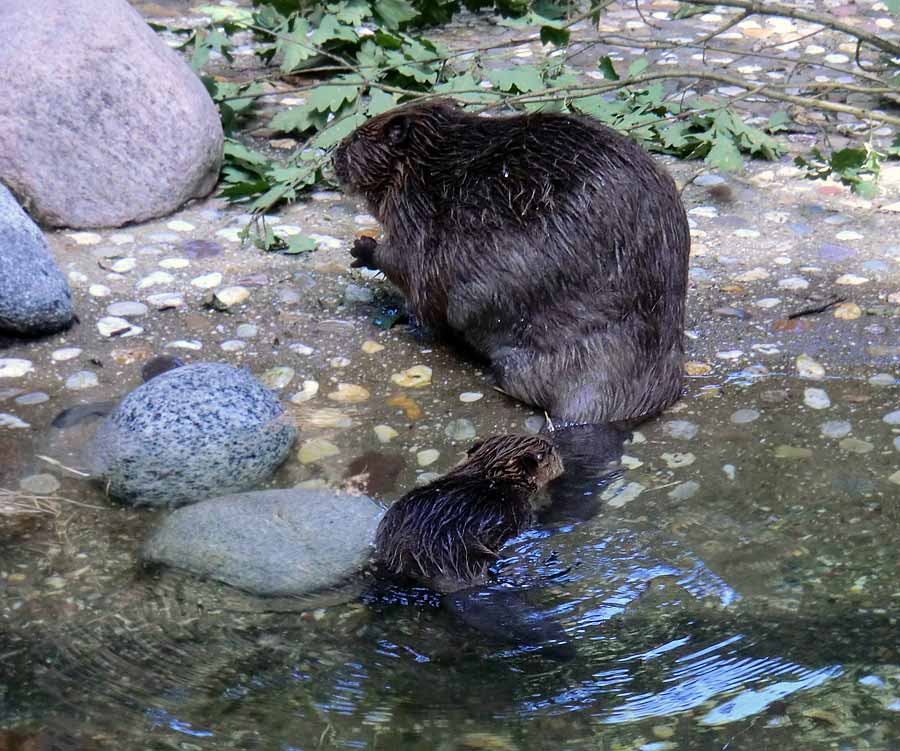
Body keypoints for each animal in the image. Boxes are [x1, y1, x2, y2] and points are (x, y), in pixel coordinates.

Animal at [334, 100, 692, 428]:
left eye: (356, 137)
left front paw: (363, 249)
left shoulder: (414, 211)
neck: (427, 160)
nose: (334, 154)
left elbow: (402, 262)